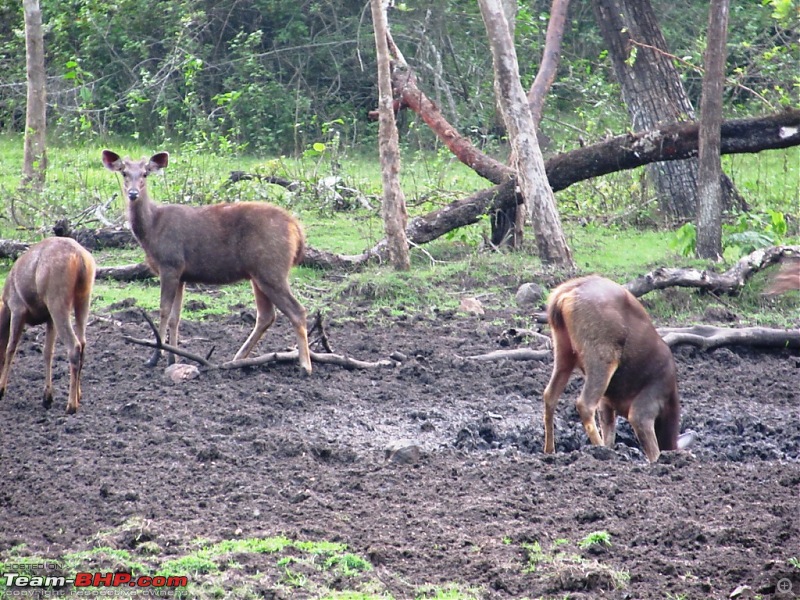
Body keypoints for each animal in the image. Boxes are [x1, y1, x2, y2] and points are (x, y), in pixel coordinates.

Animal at [0, 237, 95, 414]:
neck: (4, 308)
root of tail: (80, 258)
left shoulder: (17, 308)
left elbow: (11, 348)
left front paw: (1, 389)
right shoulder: (49, 318)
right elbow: (47, 352)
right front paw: (47, 397)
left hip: (57, 298)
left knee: (74, 346)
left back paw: (71, 405)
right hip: (83, 298)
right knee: (83, 343)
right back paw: (78, 396)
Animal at [101, 150, 312, 376]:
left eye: (145, 173)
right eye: (124, 172)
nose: (133, 193)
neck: (151, 230)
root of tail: (297, 229)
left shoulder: (170, 263)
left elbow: (164, 310)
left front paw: (155, 357)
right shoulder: (181, 274)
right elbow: (176, 317)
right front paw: (172, 358)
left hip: (271, 268)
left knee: (297, 310)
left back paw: (305, 365)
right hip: (258, 273)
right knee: (266, 315)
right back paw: (237, 359)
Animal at [544, 276, 692, 464]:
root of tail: (562, 296)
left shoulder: (607, 402)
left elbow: (610, 432)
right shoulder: (648, 402)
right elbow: (653, 451)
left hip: (563, 348)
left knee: (549, 394)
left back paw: (550, 450)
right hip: (602, 353)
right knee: (584, 403)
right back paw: (599, 449)